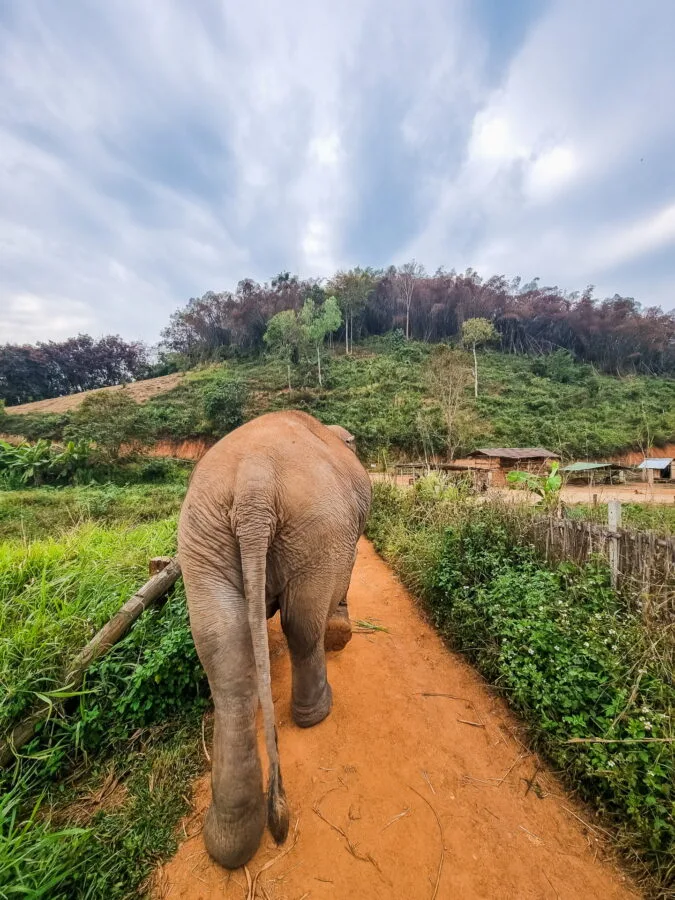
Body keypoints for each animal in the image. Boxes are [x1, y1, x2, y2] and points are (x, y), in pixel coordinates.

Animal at [178, 410, 372, 869]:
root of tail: (255, 483)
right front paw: (341, 634)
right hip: (318, 533)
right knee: (302, 624)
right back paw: (316, 713)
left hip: (203, 540)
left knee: (223, 649)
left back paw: (230, 840)